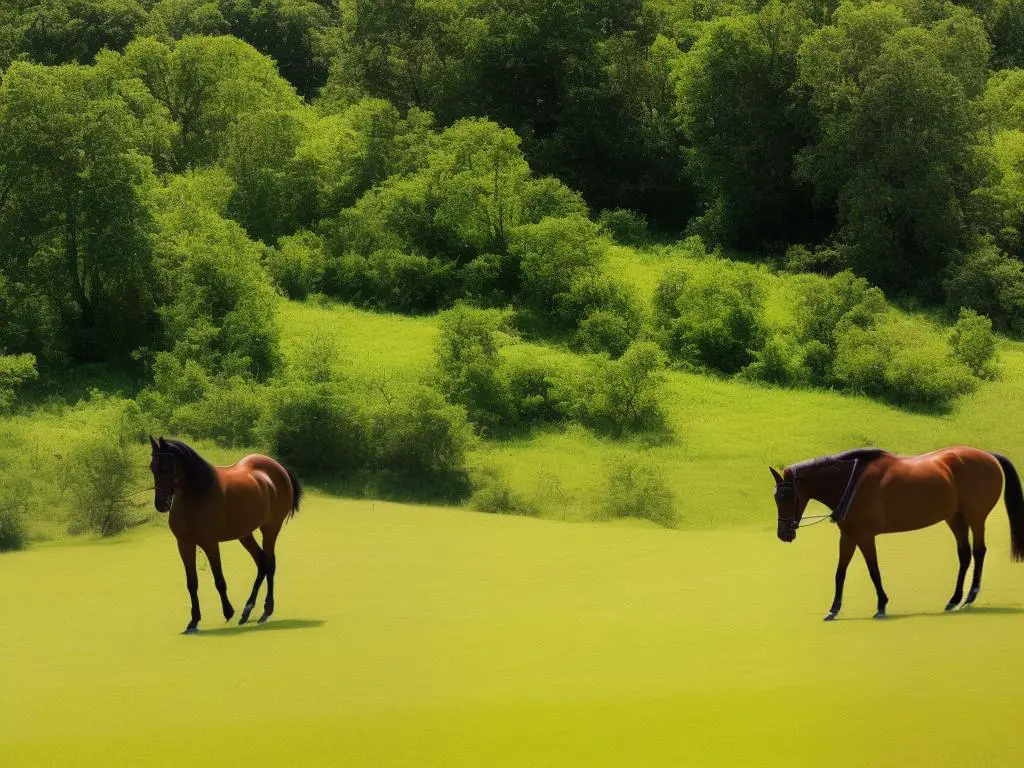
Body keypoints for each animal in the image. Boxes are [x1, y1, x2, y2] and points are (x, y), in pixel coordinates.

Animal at [148, 436, 301, 634]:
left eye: (166, 468)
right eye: (152, 467)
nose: (161, 504)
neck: (197, 494)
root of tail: (279, 469)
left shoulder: (210, 543)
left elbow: (219, 579)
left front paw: (228, 612)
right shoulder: (184, 544)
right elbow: (192, 583)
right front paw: (193, 621)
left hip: (270, 528)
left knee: (269, 563)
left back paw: (265, 611)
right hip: (245, 534)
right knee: (261, 562)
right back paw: (247, 611)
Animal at [770, 448, 1019, 622]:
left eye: (786, 496)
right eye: (776, 497)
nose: (783, 533)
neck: (851, 481)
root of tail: (989, 456)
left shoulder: (864, 536)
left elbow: (874, 571)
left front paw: (881, 605)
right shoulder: (849, 536)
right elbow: (840, 573)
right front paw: (833, 609)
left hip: (975, 517)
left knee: (979, 551)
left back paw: (971, 595)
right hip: (955, 517)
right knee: (965, 553)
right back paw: (954, 599)